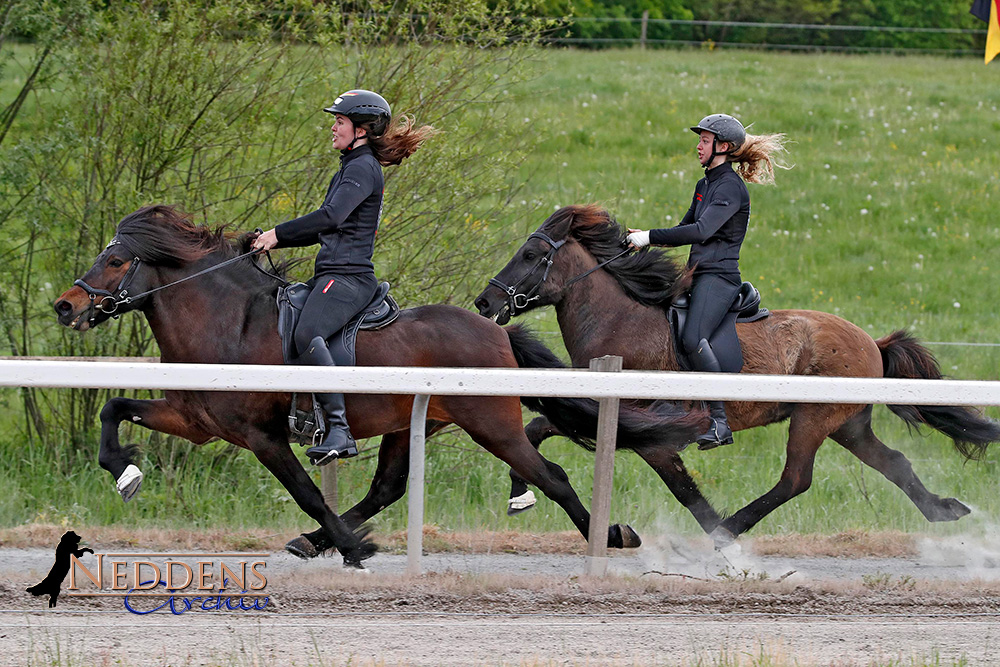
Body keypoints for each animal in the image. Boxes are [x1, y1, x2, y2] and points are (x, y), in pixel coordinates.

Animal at [52, 205, 704, 564]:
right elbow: (115, 408)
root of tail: (493, 329)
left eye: (116, 261)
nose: (64, 307)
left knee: (553, 475)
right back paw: (314, 541)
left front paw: (354, 549)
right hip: (413, 421)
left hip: (491, 424)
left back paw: (608, 535)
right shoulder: (198, 421)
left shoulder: (263, 437)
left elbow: (306, 490)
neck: (226, 323)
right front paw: (125, 472)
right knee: (389, 486)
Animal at [474, 205, 1000, 548]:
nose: (485, 302)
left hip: (813, 419)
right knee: (894, 463)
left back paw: (732, 529)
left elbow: (687, 494)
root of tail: (872, 341)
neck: (620, 321)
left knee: (796, 479)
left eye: (529, 255)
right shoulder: (600, 412)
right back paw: (944, 509)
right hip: (847, 424)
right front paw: (520, 496)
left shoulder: (654, 438)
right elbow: (533, 430)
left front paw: (710, 536)